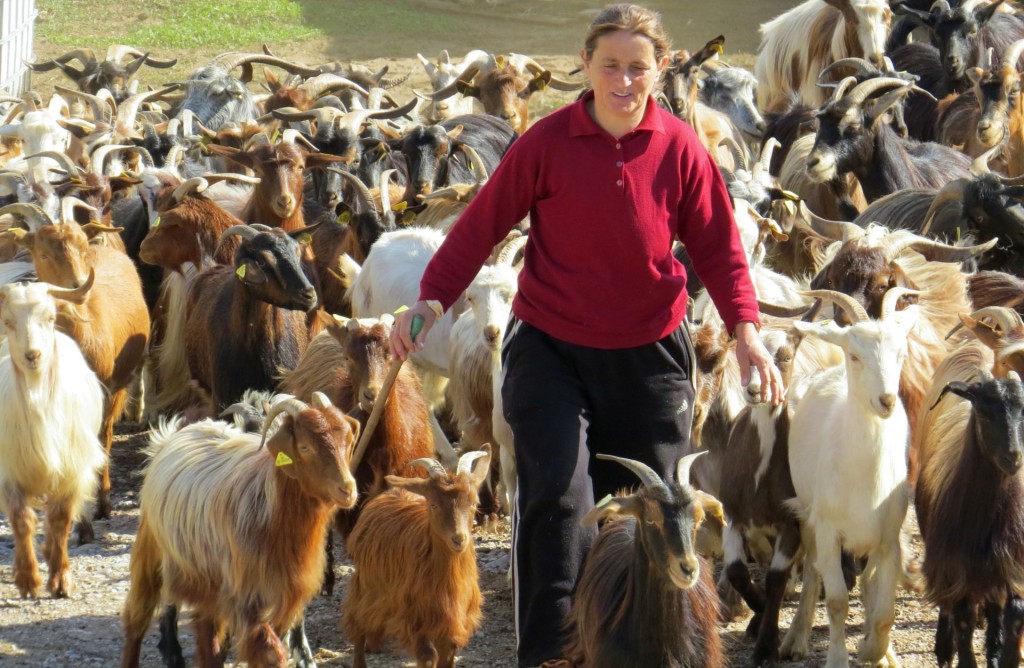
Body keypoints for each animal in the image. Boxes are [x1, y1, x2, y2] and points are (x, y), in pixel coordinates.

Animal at [121, 393, 360, 663]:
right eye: (305, 447)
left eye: (347, 441)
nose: (348, 490)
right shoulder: (245, 598)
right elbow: (271, 653)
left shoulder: (286, 596)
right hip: (151, 550)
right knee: (137, 618)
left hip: (207, 581)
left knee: (208, 640)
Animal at [339, 446, 491, 667]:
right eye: (434, 505)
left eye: (474, 503)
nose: (458, 539)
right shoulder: (414, 617)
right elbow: (427, 658)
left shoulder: (452, 622)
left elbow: (446, 659)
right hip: (365, 584)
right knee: (357, 624)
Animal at [778, 288, 917, 667]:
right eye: (855, 356)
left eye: (900, 354)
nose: (886, 400)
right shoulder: (828, 529)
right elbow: (838, 600)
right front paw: (839, 658)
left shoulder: (889, 539)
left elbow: (884, 610)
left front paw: (875, 650)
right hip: (808, 515)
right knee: (813, 571)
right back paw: (796, 640)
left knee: (869, 585)